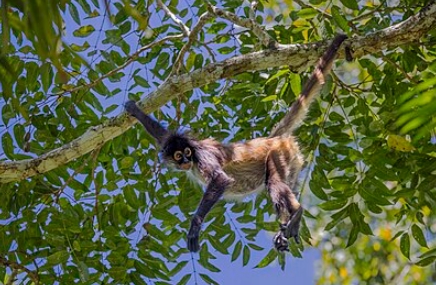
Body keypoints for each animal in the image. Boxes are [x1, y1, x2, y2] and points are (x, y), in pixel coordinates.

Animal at [125, 35, 348, 251]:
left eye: (187, 153)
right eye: (179, 155)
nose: (186, 160)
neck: (194, 155)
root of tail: (271, 139)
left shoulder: (202, 154)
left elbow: (220, 179)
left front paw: (195, 226)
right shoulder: (174, 140)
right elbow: (162, 134)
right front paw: (134, 110)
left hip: (279, 152)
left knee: (274, 182)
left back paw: (298, 212)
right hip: (292, 161)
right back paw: (285, 228)